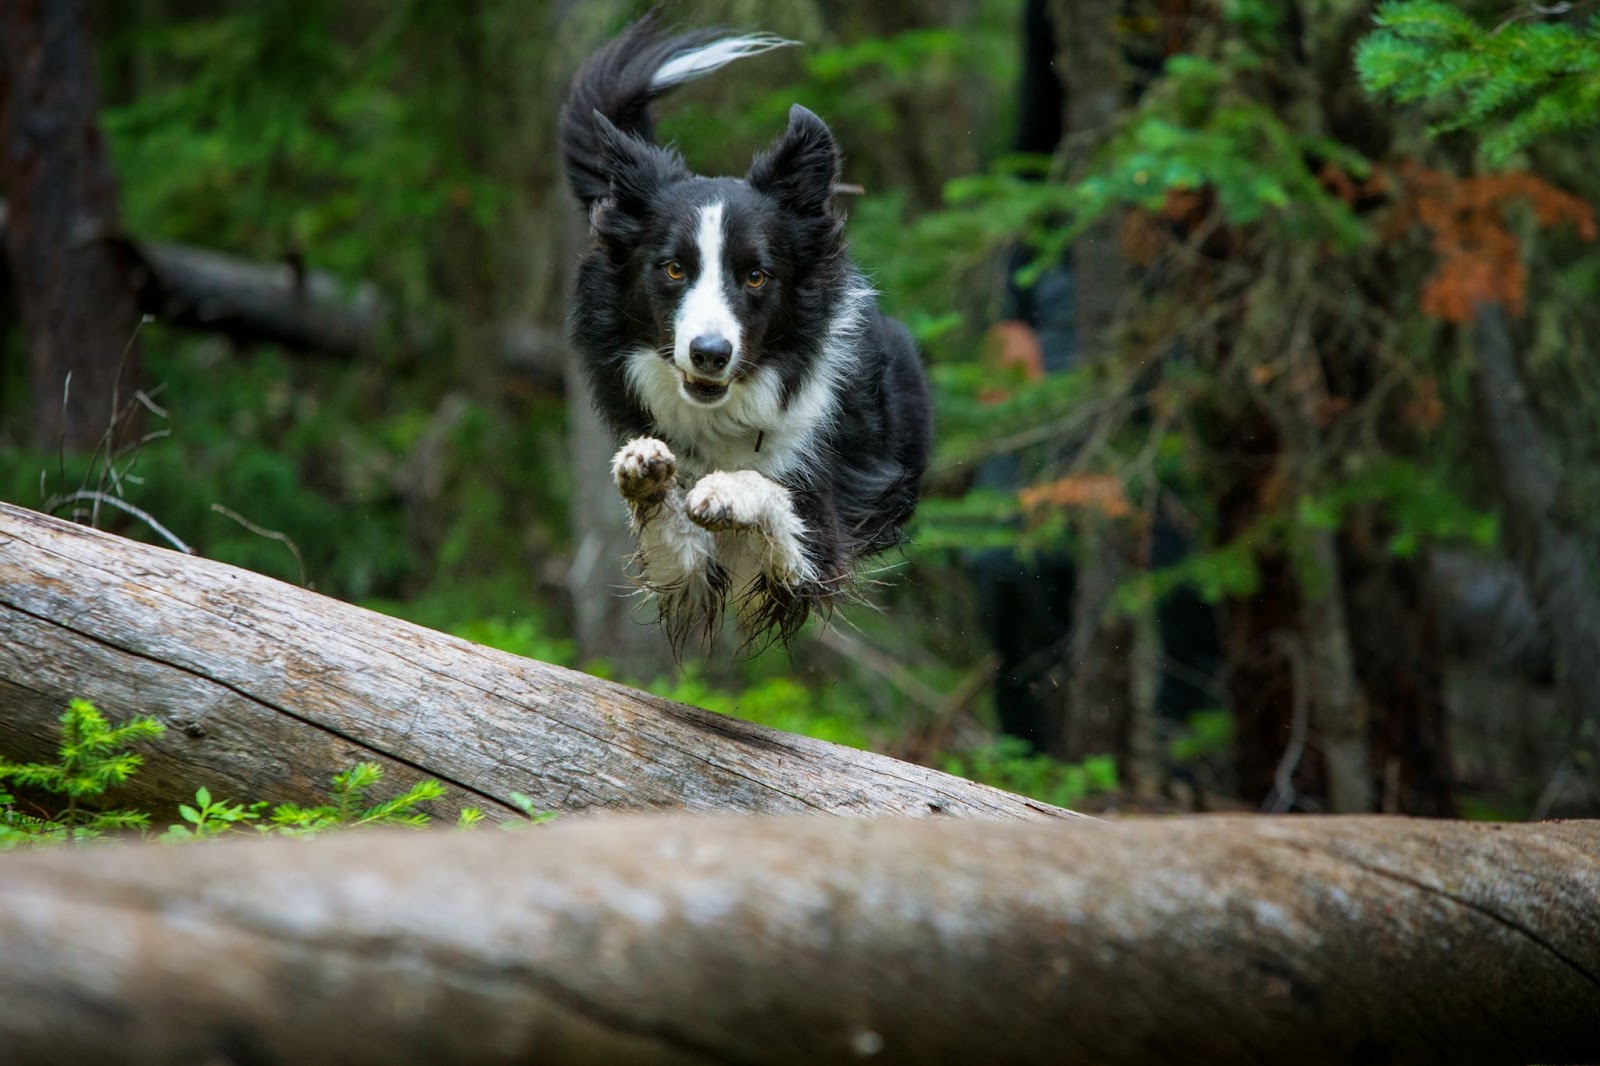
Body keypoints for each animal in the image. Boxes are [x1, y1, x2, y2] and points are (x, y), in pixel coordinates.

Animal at [566, 18, 934, 646]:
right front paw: (645, 473)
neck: (728, 412)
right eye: (674, 268)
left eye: (756, 275)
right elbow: (677, 548)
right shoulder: (690, 577)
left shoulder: (818, 550)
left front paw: (730, 490)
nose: (710, 354)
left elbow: (777, 497)